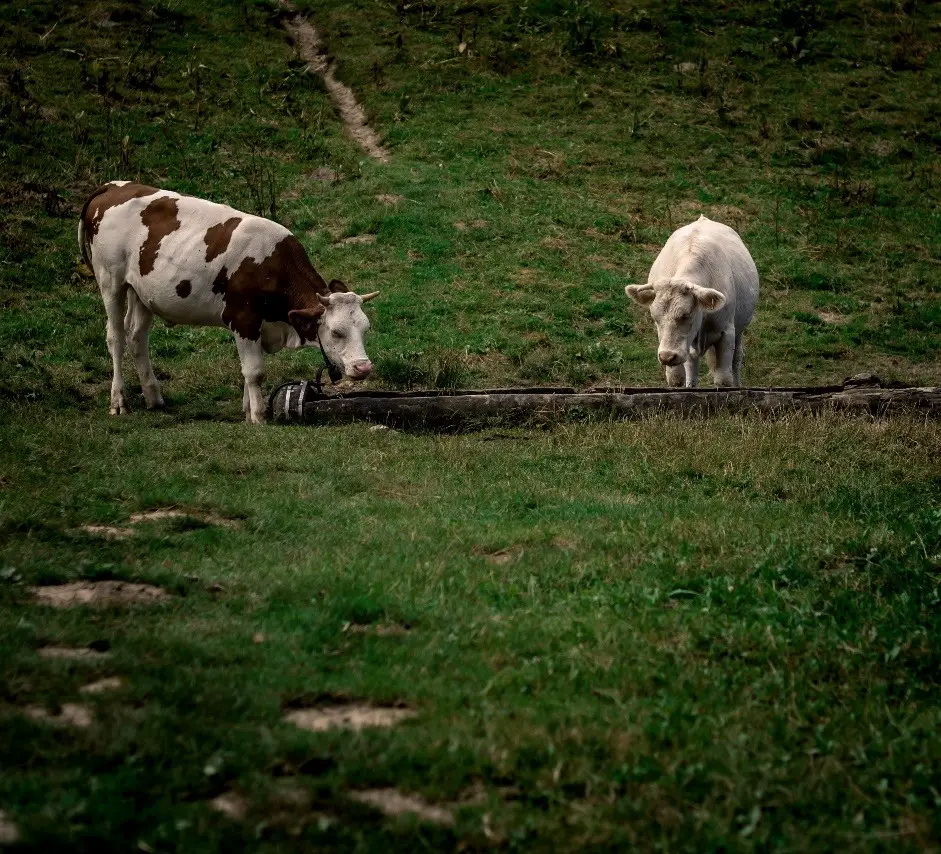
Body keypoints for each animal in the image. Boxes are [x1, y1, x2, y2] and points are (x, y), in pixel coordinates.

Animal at [78, 182, 378, 422]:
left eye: (365, 329)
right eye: (336, 332)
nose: (363, 367)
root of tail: (115, 186)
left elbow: (247, 372)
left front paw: (248, 410)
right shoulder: (244, 320)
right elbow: (255, 371)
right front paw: (258, 417)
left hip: (141, 292)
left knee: (136, 336)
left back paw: (154, 397)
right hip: (111, 281)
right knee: (116, 337)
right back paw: (119, 401)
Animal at [624, 216, 756, 390]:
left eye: (686, 315)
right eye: (655, 318)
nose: (667, 356)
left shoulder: (727, 331)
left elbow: (724, 379)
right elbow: (675, 378)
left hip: (739, 329)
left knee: (737, 358)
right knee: (692, 361)